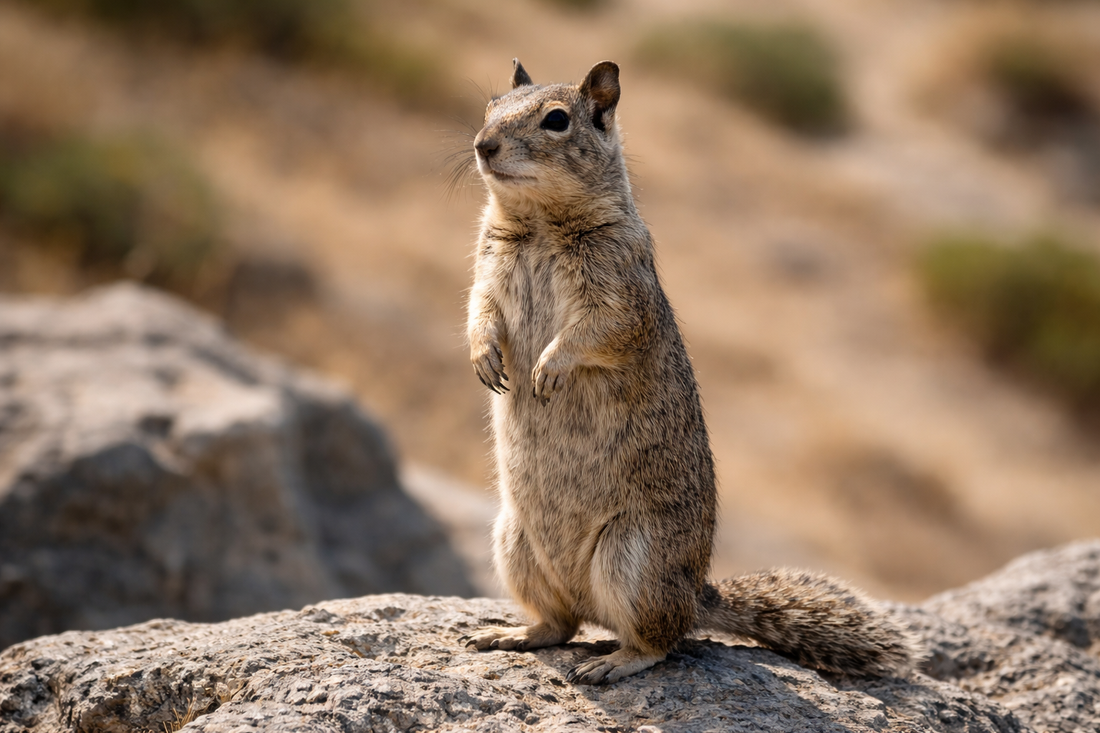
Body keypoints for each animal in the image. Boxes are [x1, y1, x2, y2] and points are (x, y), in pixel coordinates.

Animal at [460, 59, 924, 684]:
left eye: (556, 120)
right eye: (490, 106)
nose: (483, 145)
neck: (537, 223)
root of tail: (698, 593)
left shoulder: (621, 297)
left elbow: (597, 333)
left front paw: (548, 368)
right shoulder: (487, 272)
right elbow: (479, 314)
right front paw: (485, 359)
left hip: (633, 558)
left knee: (660, 641)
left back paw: (614, 663)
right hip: (514, 544)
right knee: (561, 625)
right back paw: (513, 634)